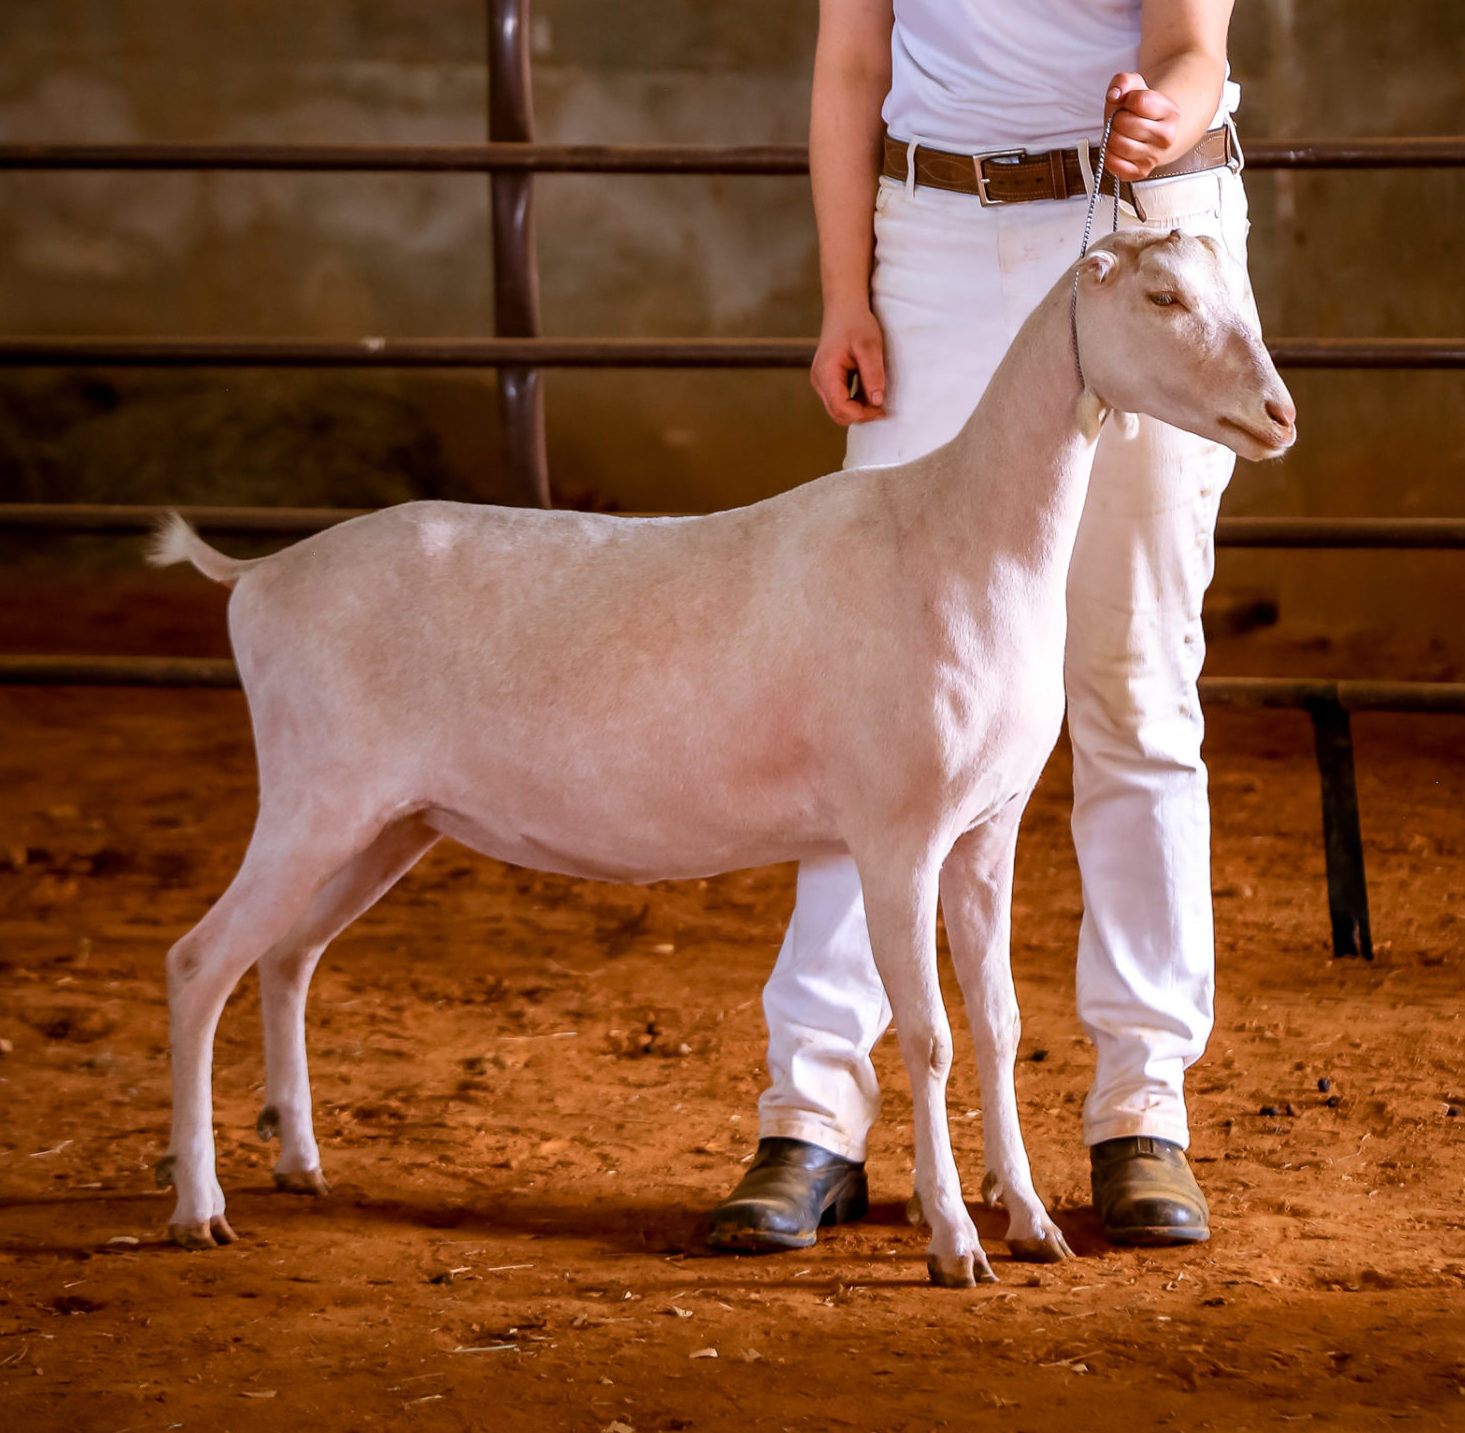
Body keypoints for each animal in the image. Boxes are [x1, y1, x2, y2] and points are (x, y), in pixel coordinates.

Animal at [148, 228, 1295, 1285]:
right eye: (1160, 296)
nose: (1279, 414)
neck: (954, 536)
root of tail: (256, 577)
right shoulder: (896, 833)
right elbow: (927, 1034)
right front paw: (954, 1241)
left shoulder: (986, 829)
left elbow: (1002, 1023)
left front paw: (1032, 1223)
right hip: (314, 793)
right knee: (201, 959)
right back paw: (200, 1205)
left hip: (390, 821)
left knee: (288, 955)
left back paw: (298, 1159)